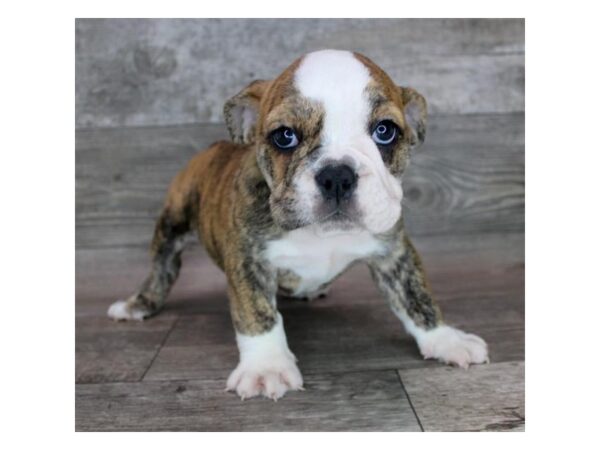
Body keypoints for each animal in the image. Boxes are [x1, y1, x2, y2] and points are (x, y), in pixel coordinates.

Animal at [106, 50, 488, 400]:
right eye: (284, 136)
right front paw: (266, 367)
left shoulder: (394, 253)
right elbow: (257, 313)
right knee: (162, 269)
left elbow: (416, 297)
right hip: (170, 226)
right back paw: (138, 304)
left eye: (385, 131)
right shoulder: (248, 261)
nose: (337, 175)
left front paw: (445, 338)